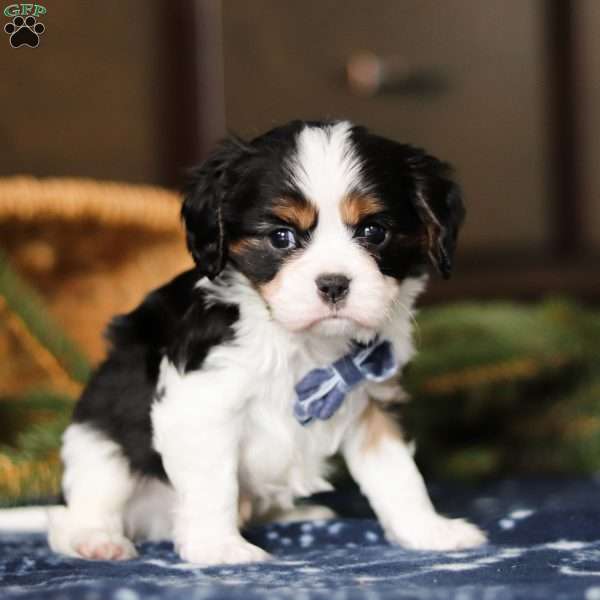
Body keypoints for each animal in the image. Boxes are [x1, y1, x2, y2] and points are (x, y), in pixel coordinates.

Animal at [44, 120, 486, 564]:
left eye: (374, 232)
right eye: (281, 237)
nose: (333, 284)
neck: (302, 342)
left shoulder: (373, 400)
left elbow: (398, 475)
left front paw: (428, 531)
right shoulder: (202, 404)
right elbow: (214, 484)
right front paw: (219, 547)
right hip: (100, 444)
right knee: (74, 513)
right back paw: (95, 539)